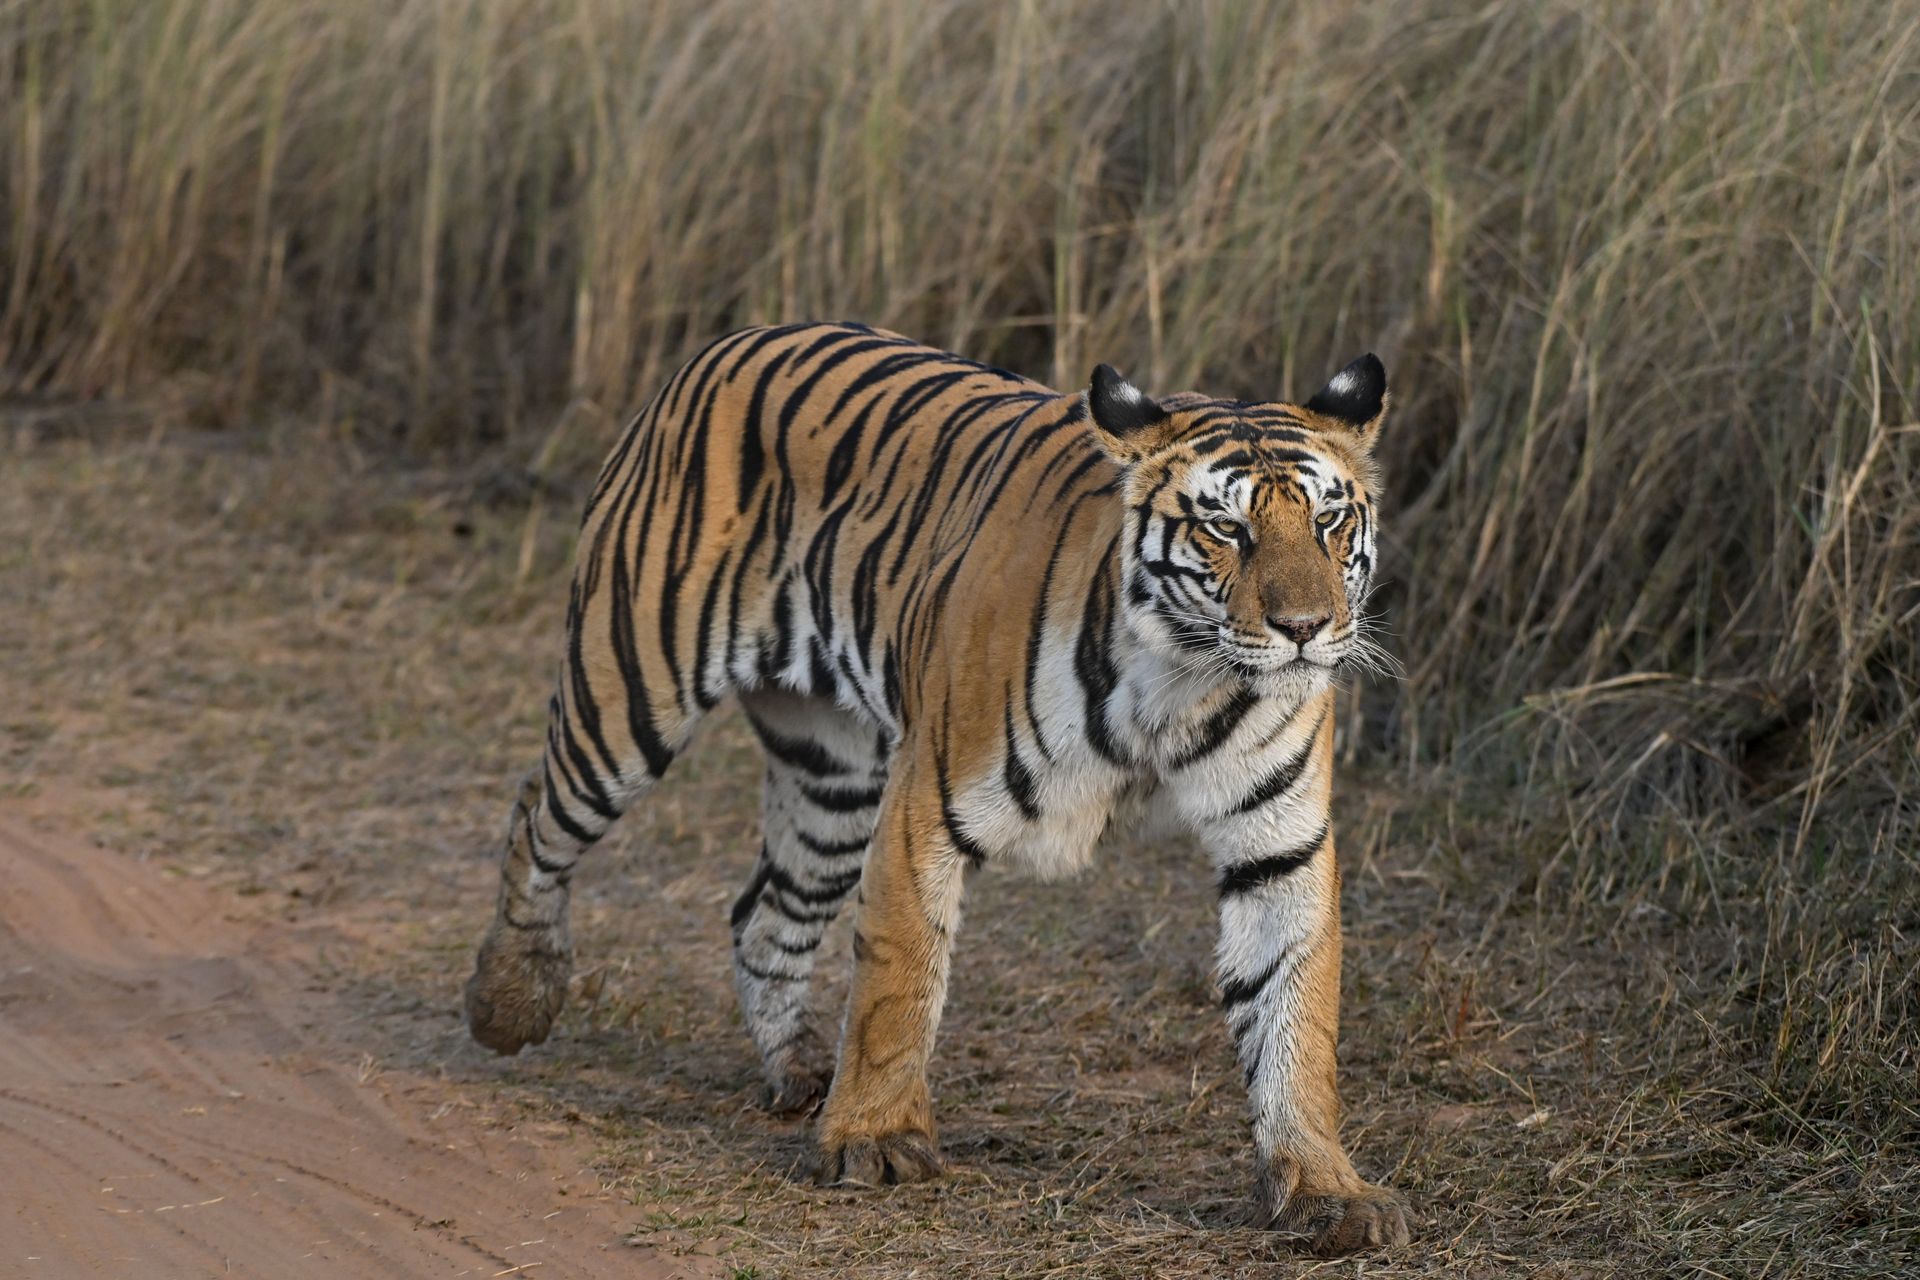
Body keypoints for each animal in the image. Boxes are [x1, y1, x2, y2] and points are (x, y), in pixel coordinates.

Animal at [463, 321, 1411, 1254]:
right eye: (1226, 528)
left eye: (1329, 521)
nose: (1303, 628)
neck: (1184, 681)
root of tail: (725, 342)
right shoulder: (928, 806)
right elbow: (898, 981)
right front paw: (877, 1140)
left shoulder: (1278, 846)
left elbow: (1295, 1016)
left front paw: (1325, 1189)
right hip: (627, 694)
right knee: (537, 819)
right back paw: (509, 1002)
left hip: (831, 774)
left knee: (764, 912)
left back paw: (801, 1073)